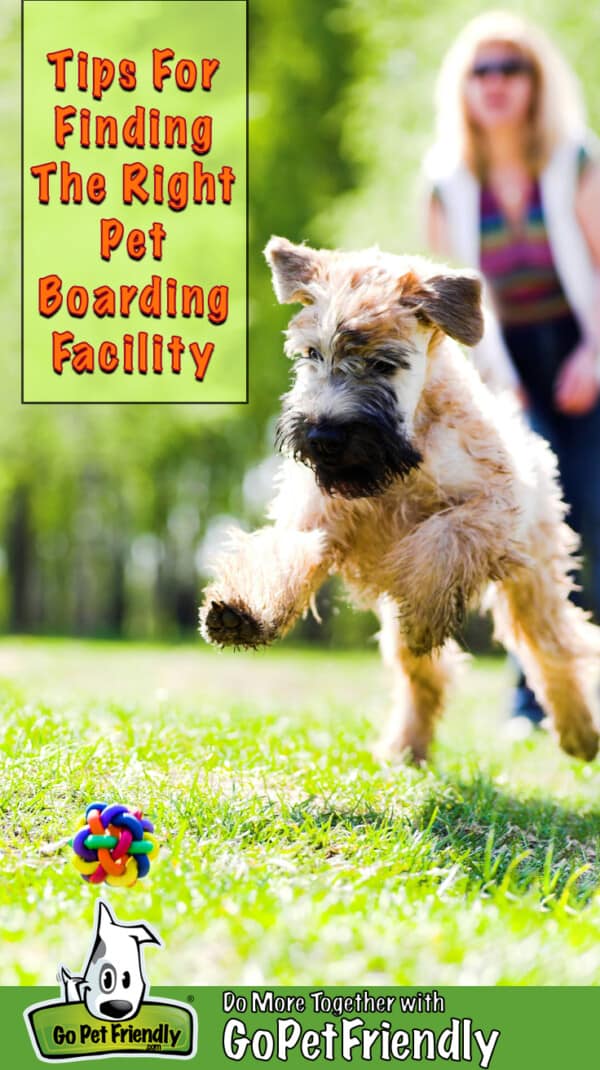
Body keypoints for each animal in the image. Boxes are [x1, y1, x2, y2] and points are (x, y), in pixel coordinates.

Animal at [200, 238, 598, 766]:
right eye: (311, 354)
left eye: (384, 363)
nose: (323, 436)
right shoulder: (312, 523)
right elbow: (280, 558)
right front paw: (241, 613)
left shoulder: (492, 509)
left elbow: (444, 537)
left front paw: (428, 612)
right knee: (425, 675)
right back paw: (406, 748)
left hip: (535, 582)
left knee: (554, 649)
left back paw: (579, 733)